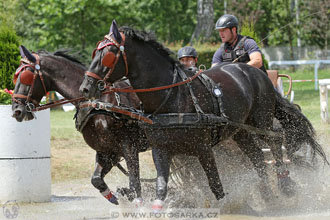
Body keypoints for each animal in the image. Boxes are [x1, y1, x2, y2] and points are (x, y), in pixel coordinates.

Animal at [11, 45, 148, 205]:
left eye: (25, 76)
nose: (16, 111)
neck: (99, 103)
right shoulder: (108, 150)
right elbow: (96, 179)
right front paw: (115, 196)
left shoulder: (129, 146)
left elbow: (135, 184)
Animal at [78, 21, 328, 210]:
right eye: (96, 51)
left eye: (109, 54)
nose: (85, 88)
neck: (172, 97)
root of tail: (255, 72)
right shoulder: (161, 149)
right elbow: (161, 187)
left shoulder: (203, 148)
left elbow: (215, 184)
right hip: (240, 130)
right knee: (256, 156)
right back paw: (267, 194)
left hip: (261, 121)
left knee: (275, 141)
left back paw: (285, 184)